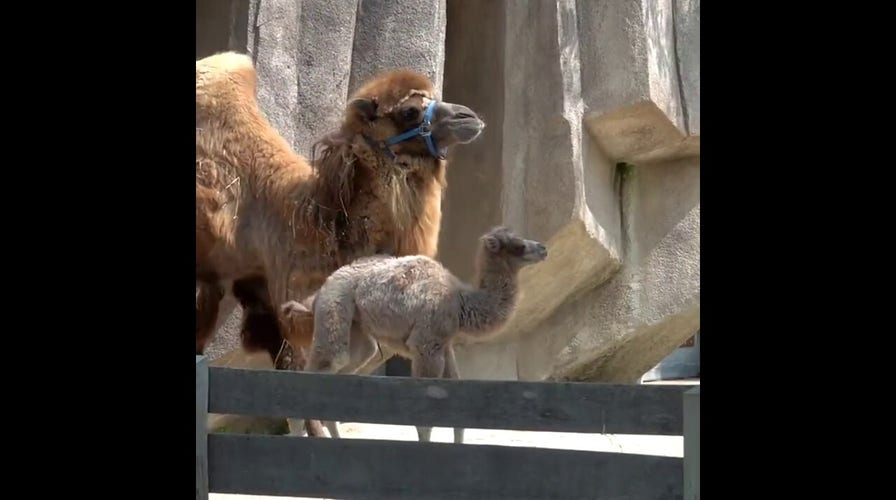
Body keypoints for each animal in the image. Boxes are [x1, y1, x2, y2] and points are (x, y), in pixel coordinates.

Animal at [282, 226, 549, 443]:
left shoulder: (443, 345)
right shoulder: (426, 345)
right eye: (518, 245)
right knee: (325, 362)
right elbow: (424, 419)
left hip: (357, 331)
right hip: (335, 310)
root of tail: (317, 294)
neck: (461, 302)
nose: (543, 248)